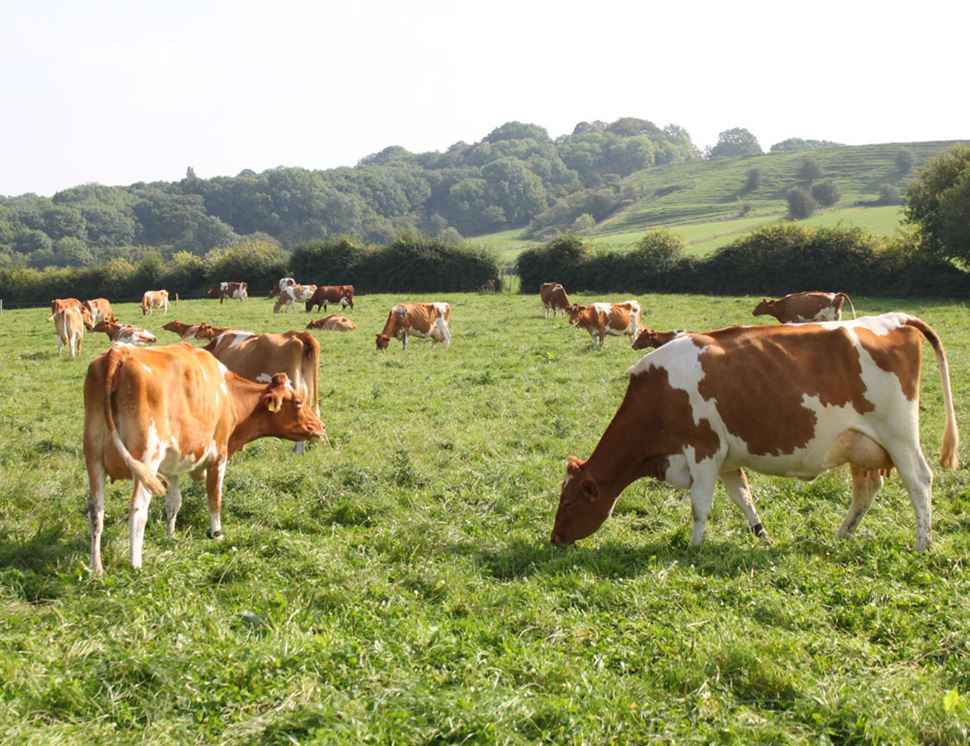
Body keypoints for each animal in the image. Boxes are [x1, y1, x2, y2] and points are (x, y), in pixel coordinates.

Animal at [83, 340, 326, 572]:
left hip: (93, 459)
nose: (321, 426)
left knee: (96, 511)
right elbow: (214, 498)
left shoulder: (174, 464)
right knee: (138, 509)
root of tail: (119, 351)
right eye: (298, 402)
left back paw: (96, 567)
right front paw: (217, 533)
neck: (229, 394)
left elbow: (174, 502)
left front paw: (170, 536)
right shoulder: (219, 455)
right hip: (146, 459)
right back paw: (136, 564)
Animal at [548, 312, 956, 552]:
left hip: (898, 435)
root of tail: (896, 318)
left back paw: (923, 544)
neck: (659, 393)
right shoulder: (727, 458)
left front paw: (693, 547)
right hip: (862, 445)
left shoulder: (704, 450)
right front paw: (762, 534)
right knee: (866, 492)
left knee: (919, 481)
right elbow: (743, 497)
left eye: (568, 504)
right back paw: (840, 536)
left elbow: (700, 505)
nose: (555, 539)